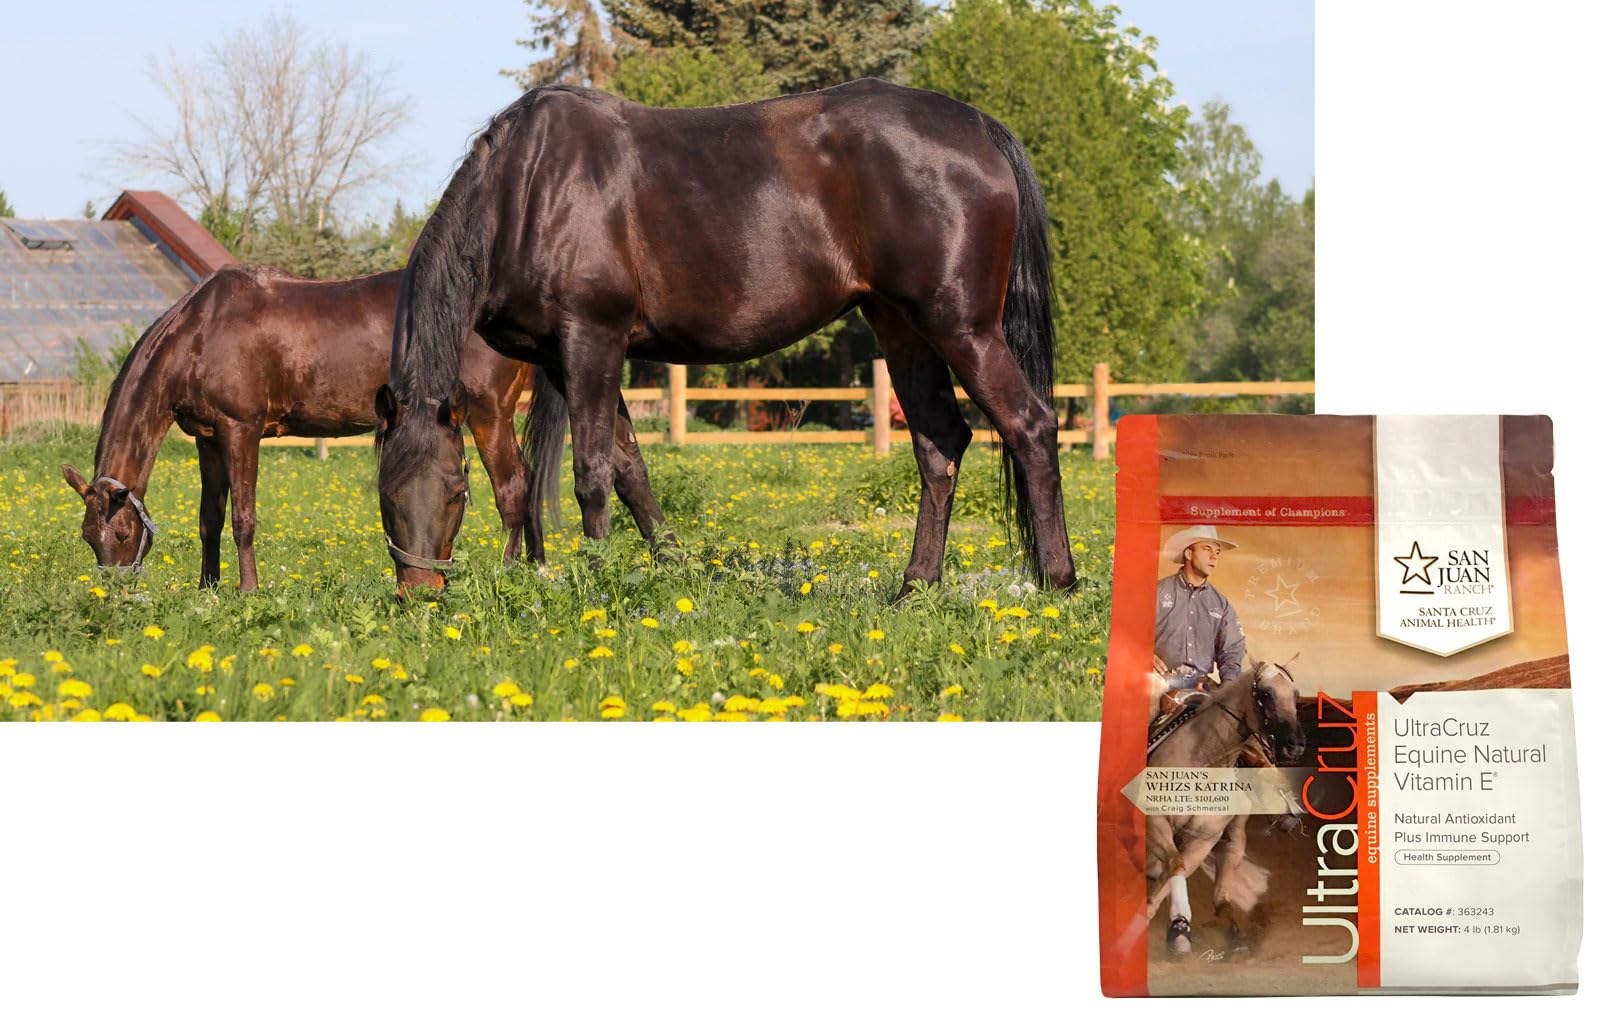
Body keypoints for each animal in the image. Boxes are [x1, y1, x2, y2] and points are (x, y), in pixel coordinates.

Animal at [61, 265, 570, 591]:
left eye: (121, 535)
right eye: (87, 538)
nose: (112, 595)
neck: (200, 332)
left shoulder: (240, 430)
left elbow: (242, 519)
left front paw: (248, 590)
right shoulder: (207, 439)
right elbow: (209, 519)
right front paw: (208, 588)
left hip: (488, 414)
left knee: (512, 489)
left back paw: (509, 572)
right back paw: (537, 568)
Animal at [374, 79, 1079, 596]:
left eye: (457, 492)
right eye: (384, 494)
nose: (418, 594)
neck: (528, 189)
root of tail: (979, 128)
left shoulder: (591, 339)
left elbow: (593, 472)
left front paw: (600, 586)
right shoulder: (570, 357)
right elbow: (631, 469)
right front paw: (670, 572)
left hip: (962, 328)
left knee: (1029, 425)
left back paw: (1059, 582)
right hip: (901, 329)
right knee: (940, 445)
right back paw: (915, 587)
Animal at [1142, 661, 1306, 958]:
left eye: (1295, 695)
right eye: (1265, 694)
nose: (1296, 745)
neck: (1204, 760)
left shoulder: (1202, 839)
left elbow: (1174, 872)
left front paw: (1179, 929)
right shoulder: (1156, 820)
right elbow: (1174, 865)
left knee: (1220, 895)